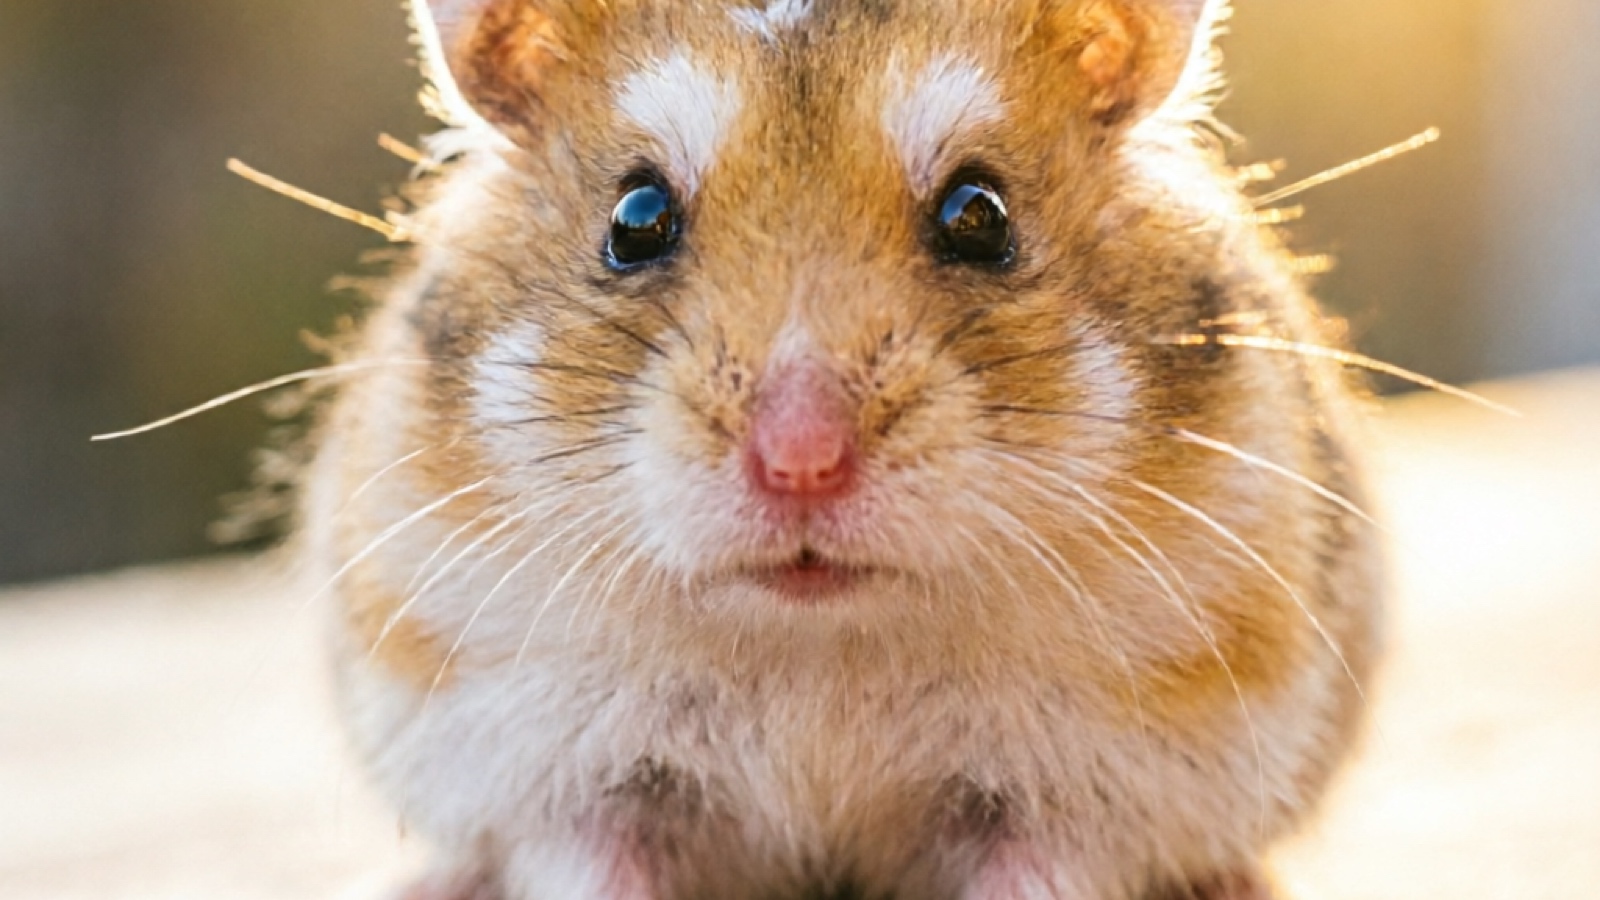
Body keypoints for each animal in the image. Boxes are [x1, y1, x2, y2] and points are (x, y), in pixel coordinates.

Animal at [302, 0, 1382, 897]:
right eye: (635, 219)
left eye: (979, 216)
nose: (801, 462)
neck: (817, 646)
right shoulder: (569, 782)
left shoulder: (1077, 794)